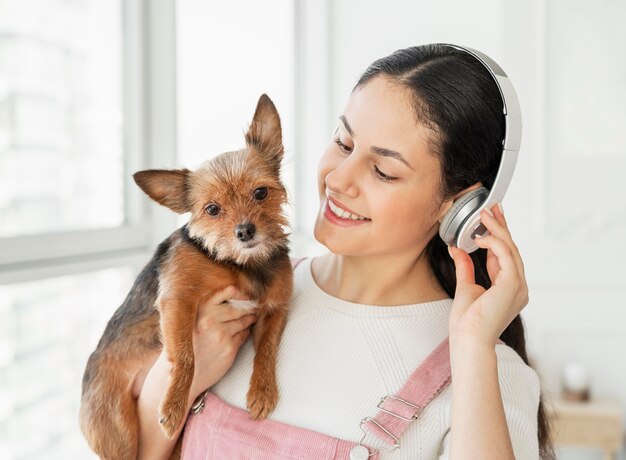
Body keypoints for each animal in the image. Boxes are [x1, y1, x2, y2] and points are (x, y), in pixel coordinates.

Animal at [78, 94, 292, 460]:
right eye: (212, 210)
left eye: (261, 193)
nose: (245, 231)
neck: (239, 263)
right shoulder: (178, 299)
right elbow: (187, 357)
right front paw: (174, 406)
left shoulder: (274, 308)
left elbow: (265, 349)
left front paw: (262, 391)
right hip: (119, 431)